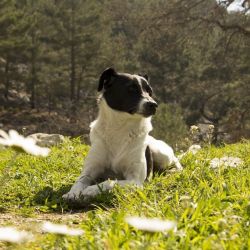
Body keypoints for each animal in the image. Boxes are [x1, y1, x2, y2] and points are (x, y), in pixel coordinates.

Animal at [62, 67, 182, 202]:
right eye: (131, 89)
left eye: (150, 91)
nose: (154, 105)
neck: (119, 128)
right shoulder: (89, 171)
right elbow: (79, 181)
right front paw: (72, 193)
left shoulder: (135, 180)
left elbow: (110, 182)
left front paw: (90, 190)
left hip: (161, 153)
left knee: (175, 161)